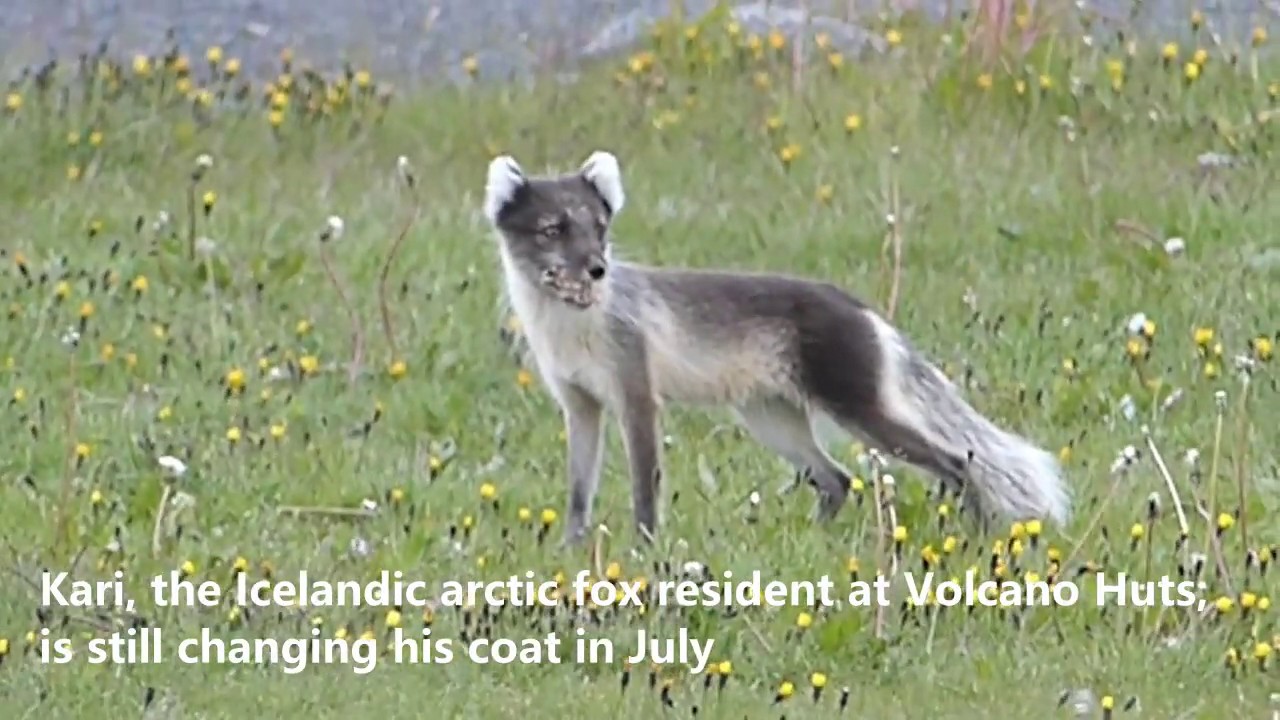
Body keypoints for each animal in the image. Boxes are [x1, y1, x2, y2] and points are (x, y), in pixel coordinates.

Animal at [481, 150, 1071, 545]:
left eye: (599, 227)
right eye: (553, 229)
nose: (598, 268)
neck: (570, 327)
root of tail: (859, 307)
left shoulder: (637, 396)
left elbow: (644, 487)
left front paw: (644, 550)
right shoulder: (580, 404)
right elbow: (579, 491)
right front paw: (572, 549)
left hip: (860, 411)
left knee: (955, 462)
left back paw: (974, 533)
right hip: (771, 419)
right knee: (839, 480)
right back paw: (817, 539)